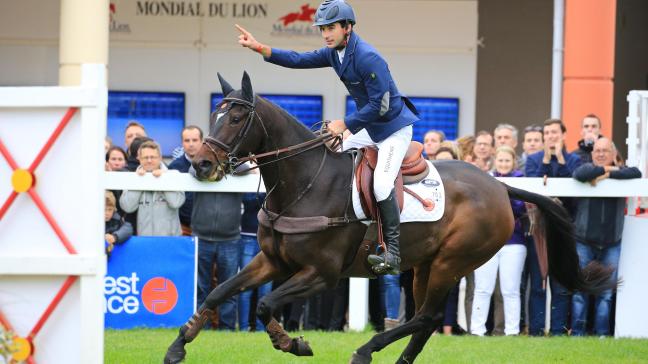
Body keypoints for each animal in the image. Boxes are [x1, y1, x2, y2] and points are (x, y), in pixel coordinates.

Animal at [165, 72, 612, 362]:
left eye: (236, 118)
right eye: (215, 114)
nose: (201, 163)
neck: (305, 182)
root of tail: (501, 187)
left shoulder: (322, 274)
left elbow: (265, 305)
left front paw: (292, 343)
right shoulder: (272, 260)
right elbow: (219, 294)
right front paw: (178, 345)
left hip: (452, 261)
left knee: (426, 316)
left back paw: (366, 350)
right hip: (425, 264)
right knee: (425, 320)